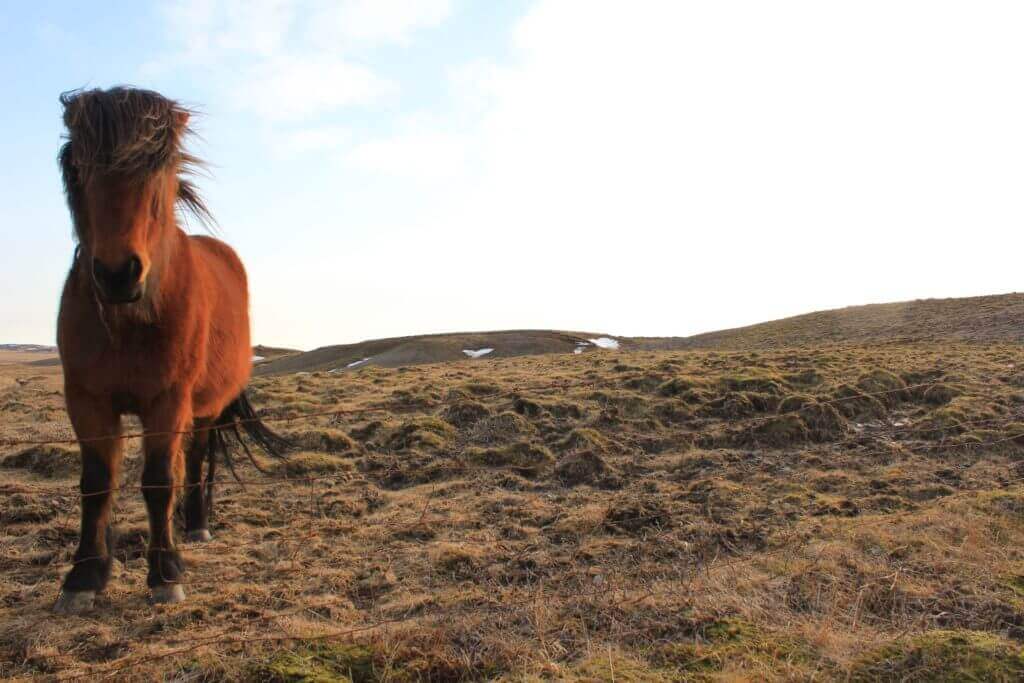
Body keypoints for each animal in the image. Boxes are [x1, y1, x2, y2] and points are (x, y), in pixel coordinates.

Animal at [54, 87, 286, 614]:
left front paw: (165, 573)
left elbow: (160, 481)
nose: (118, 274)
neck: (127, 324)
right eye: (77, 166)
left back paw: (195, 525)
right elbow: (95, 482)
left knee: (195, 460)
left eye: (157, 167)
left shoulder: (167, 401)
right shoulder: (87, 401)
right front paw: (85, 575)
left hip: (204, 408)